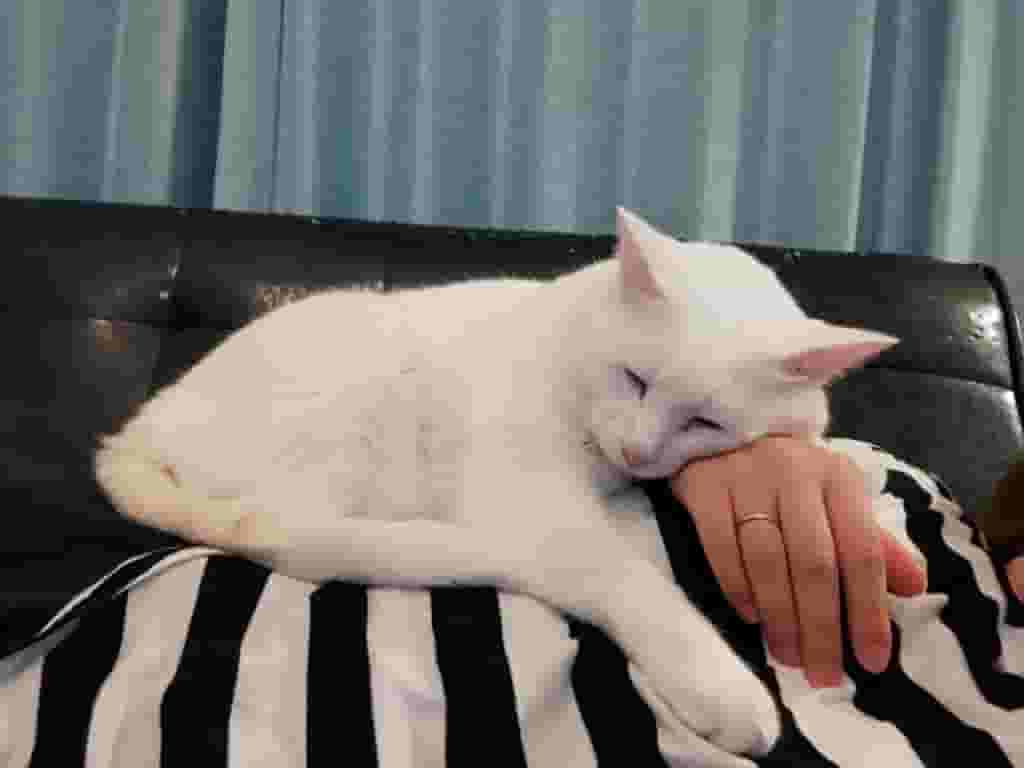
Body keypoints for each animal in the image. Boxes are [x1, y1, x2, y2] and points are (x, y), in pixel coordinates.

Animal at [94, 208, 897, 762]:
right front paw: (722, 687)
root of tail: (134, 434)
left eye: (705, 421)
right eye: (635, 378)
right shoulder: (535, 510)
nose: (638, 450)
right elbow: (634, 582)